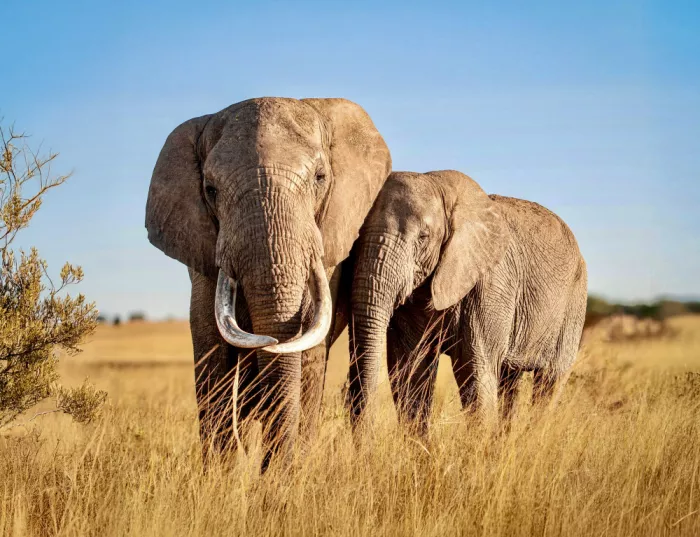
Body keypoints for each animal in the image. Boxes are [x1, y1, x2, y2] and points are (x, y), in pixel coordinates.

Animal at [145, 97, 391, 468]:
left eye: (320, 178)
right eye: (210, 190)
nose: (276, 467)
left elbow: (310, 350)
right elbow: (211, 349)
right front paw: (221, 475)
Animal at [346, 170, 587, 437]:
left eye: (423, 237)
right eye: (357, 236)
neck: (440, 186)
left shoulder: (491, 285)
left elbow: (475, 367)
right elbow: (411, 365)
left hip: (574, 301)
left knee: (549, 379)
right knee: (509, 379)